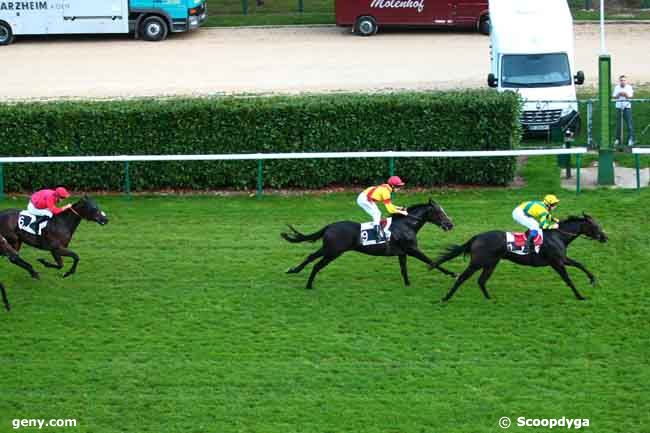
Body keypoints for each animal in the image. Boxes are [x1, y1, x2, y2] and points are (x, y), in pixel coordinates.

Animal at [280, 198, 454, 286]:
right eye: (439, 212)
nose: (450, 224)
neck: (406, 225)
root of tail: (329, 226)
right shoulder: (412, 250)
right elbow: (432, 261)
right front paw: (452, 273)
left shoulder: (402, 253)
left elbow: (404, 269)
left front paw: (407, 284)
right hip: (333, 252)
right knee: (317, 264)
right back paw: (309, 285)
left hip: (328, 249)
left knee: (311, 256)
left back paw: (293, 270)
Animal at [430, 212, 608, 300]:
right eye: (595, 226)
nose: (605, 237)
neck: (557, 235)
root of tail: (476, 237)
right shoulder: (556, 262)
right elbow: (568, 280)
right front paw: (580, 296)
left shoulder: (562, 259)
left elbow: (580, 264)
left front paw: (592, 279)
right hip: (478, 262)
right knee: (462, 277)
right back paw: (446, 297)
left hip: (491, 263)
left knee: (481, 280)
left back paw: (489, 298)